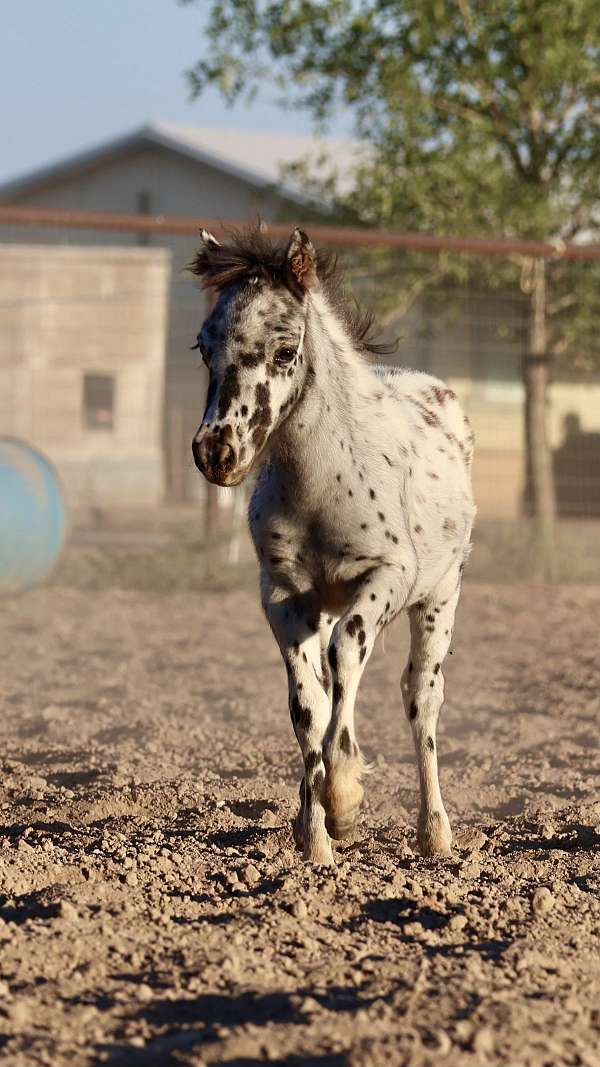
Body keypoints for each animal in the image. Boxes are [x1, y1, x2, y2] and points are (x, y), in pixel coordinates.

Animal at [188, 227, 474, 866]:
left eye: (285, 351)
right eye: (203, 348)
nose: (217, 452)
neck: (322, 484)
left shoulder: (387, 576)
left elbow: (347, 656)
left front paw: (343, 798)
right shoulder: (285, 596)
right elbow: (309, 705)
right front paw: (317, 835)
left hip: (439, 597)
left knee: (422, 697)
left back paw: (435, 833)